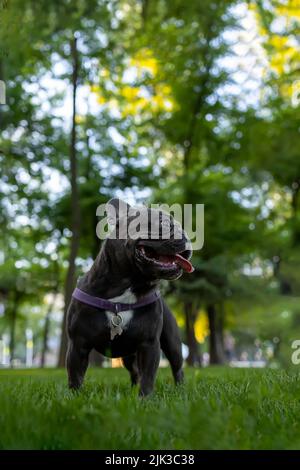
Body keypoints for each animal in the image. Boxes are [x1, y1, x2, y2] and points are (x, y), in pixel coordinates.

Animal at [66, 196, 193, 394]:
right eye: (163, 223)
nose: (185, 234)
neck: (129, 286)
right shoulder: (77, 344)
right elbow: (75, 377)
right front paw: (74, 397)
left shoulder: (149, 344)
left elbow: (148, 377)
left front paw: (145, 398)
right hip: (128, 355)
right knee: (135, 371)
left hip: (172, 343)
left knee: (177, 367)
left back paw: (179, 389)